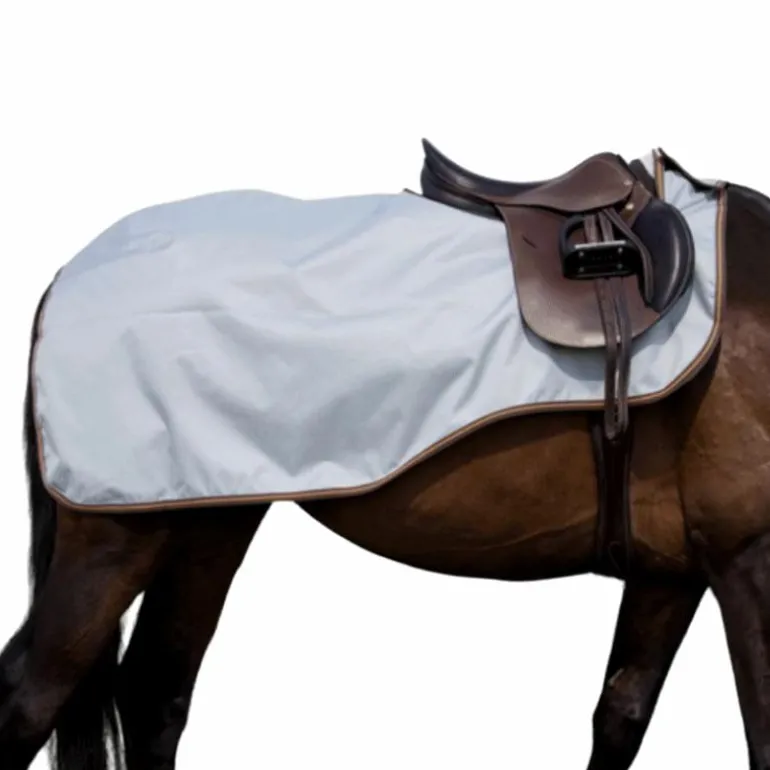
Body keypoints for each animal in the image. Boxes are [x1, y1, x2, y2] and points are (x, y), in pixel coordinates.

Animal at [1, 144, 769, 770]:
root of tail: (68, 272)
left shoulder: (675, 569)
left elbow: (620, 716)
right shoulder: (747, 559)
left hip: (205, 518)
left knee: (156, 691)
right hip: (113, 537)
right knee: (32, 700)